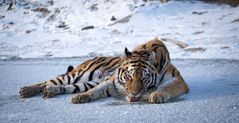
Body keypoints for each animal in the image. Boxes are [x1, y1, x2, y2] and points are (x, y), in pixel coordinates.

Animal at [19, 38, 190, 103]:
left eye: (144, 78)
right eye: (129, 76)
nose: (134, 94)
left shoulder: (178, 80)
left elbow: (167, 87)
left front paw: (157, 95)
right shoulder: (112, 81)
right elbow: (96, 90)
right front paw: (81, 97)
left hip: (84, 81)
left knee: (61, 86)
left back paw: (50, 91)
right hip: (77, 74)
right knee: (48, 80)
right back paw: (26, 90)